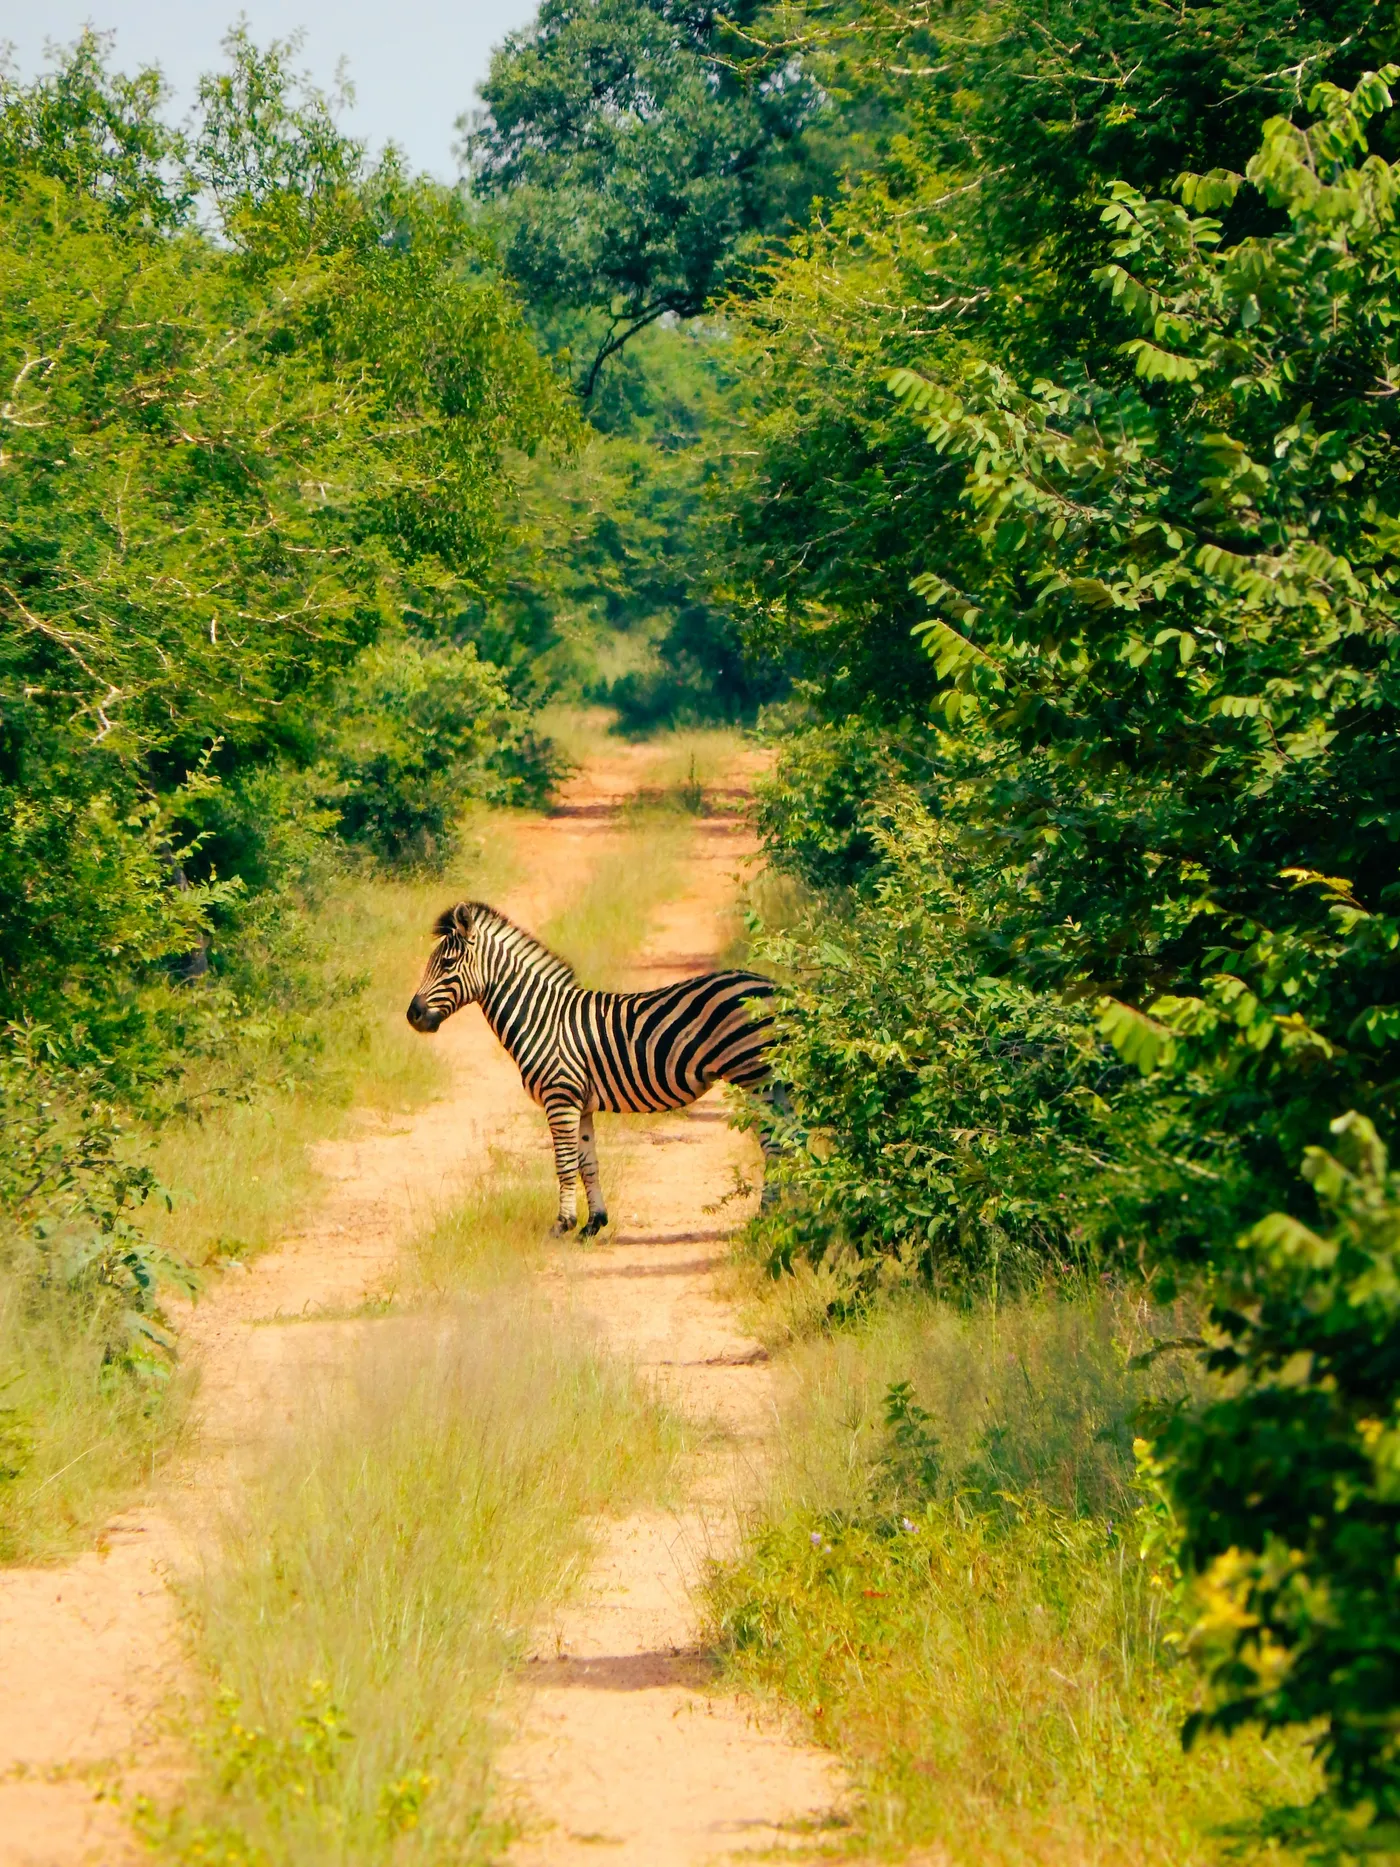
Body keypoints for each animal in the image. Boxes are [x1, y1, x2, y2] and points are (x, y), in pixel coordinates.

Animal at [406, 900, 780, 1234]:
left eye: (447, 964)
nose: (413, 1015)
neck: (542, 1019)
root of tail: (773, 985)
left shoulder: (560, 1098)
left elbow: (564, 1164)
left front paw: (562, 1224)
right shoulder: (580, 1104)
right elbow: (588, 1164)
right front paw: (593, 1223)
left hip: (755, 1077)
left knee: (775, 1144)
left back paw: (766, 1218)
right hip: (768, 1081)